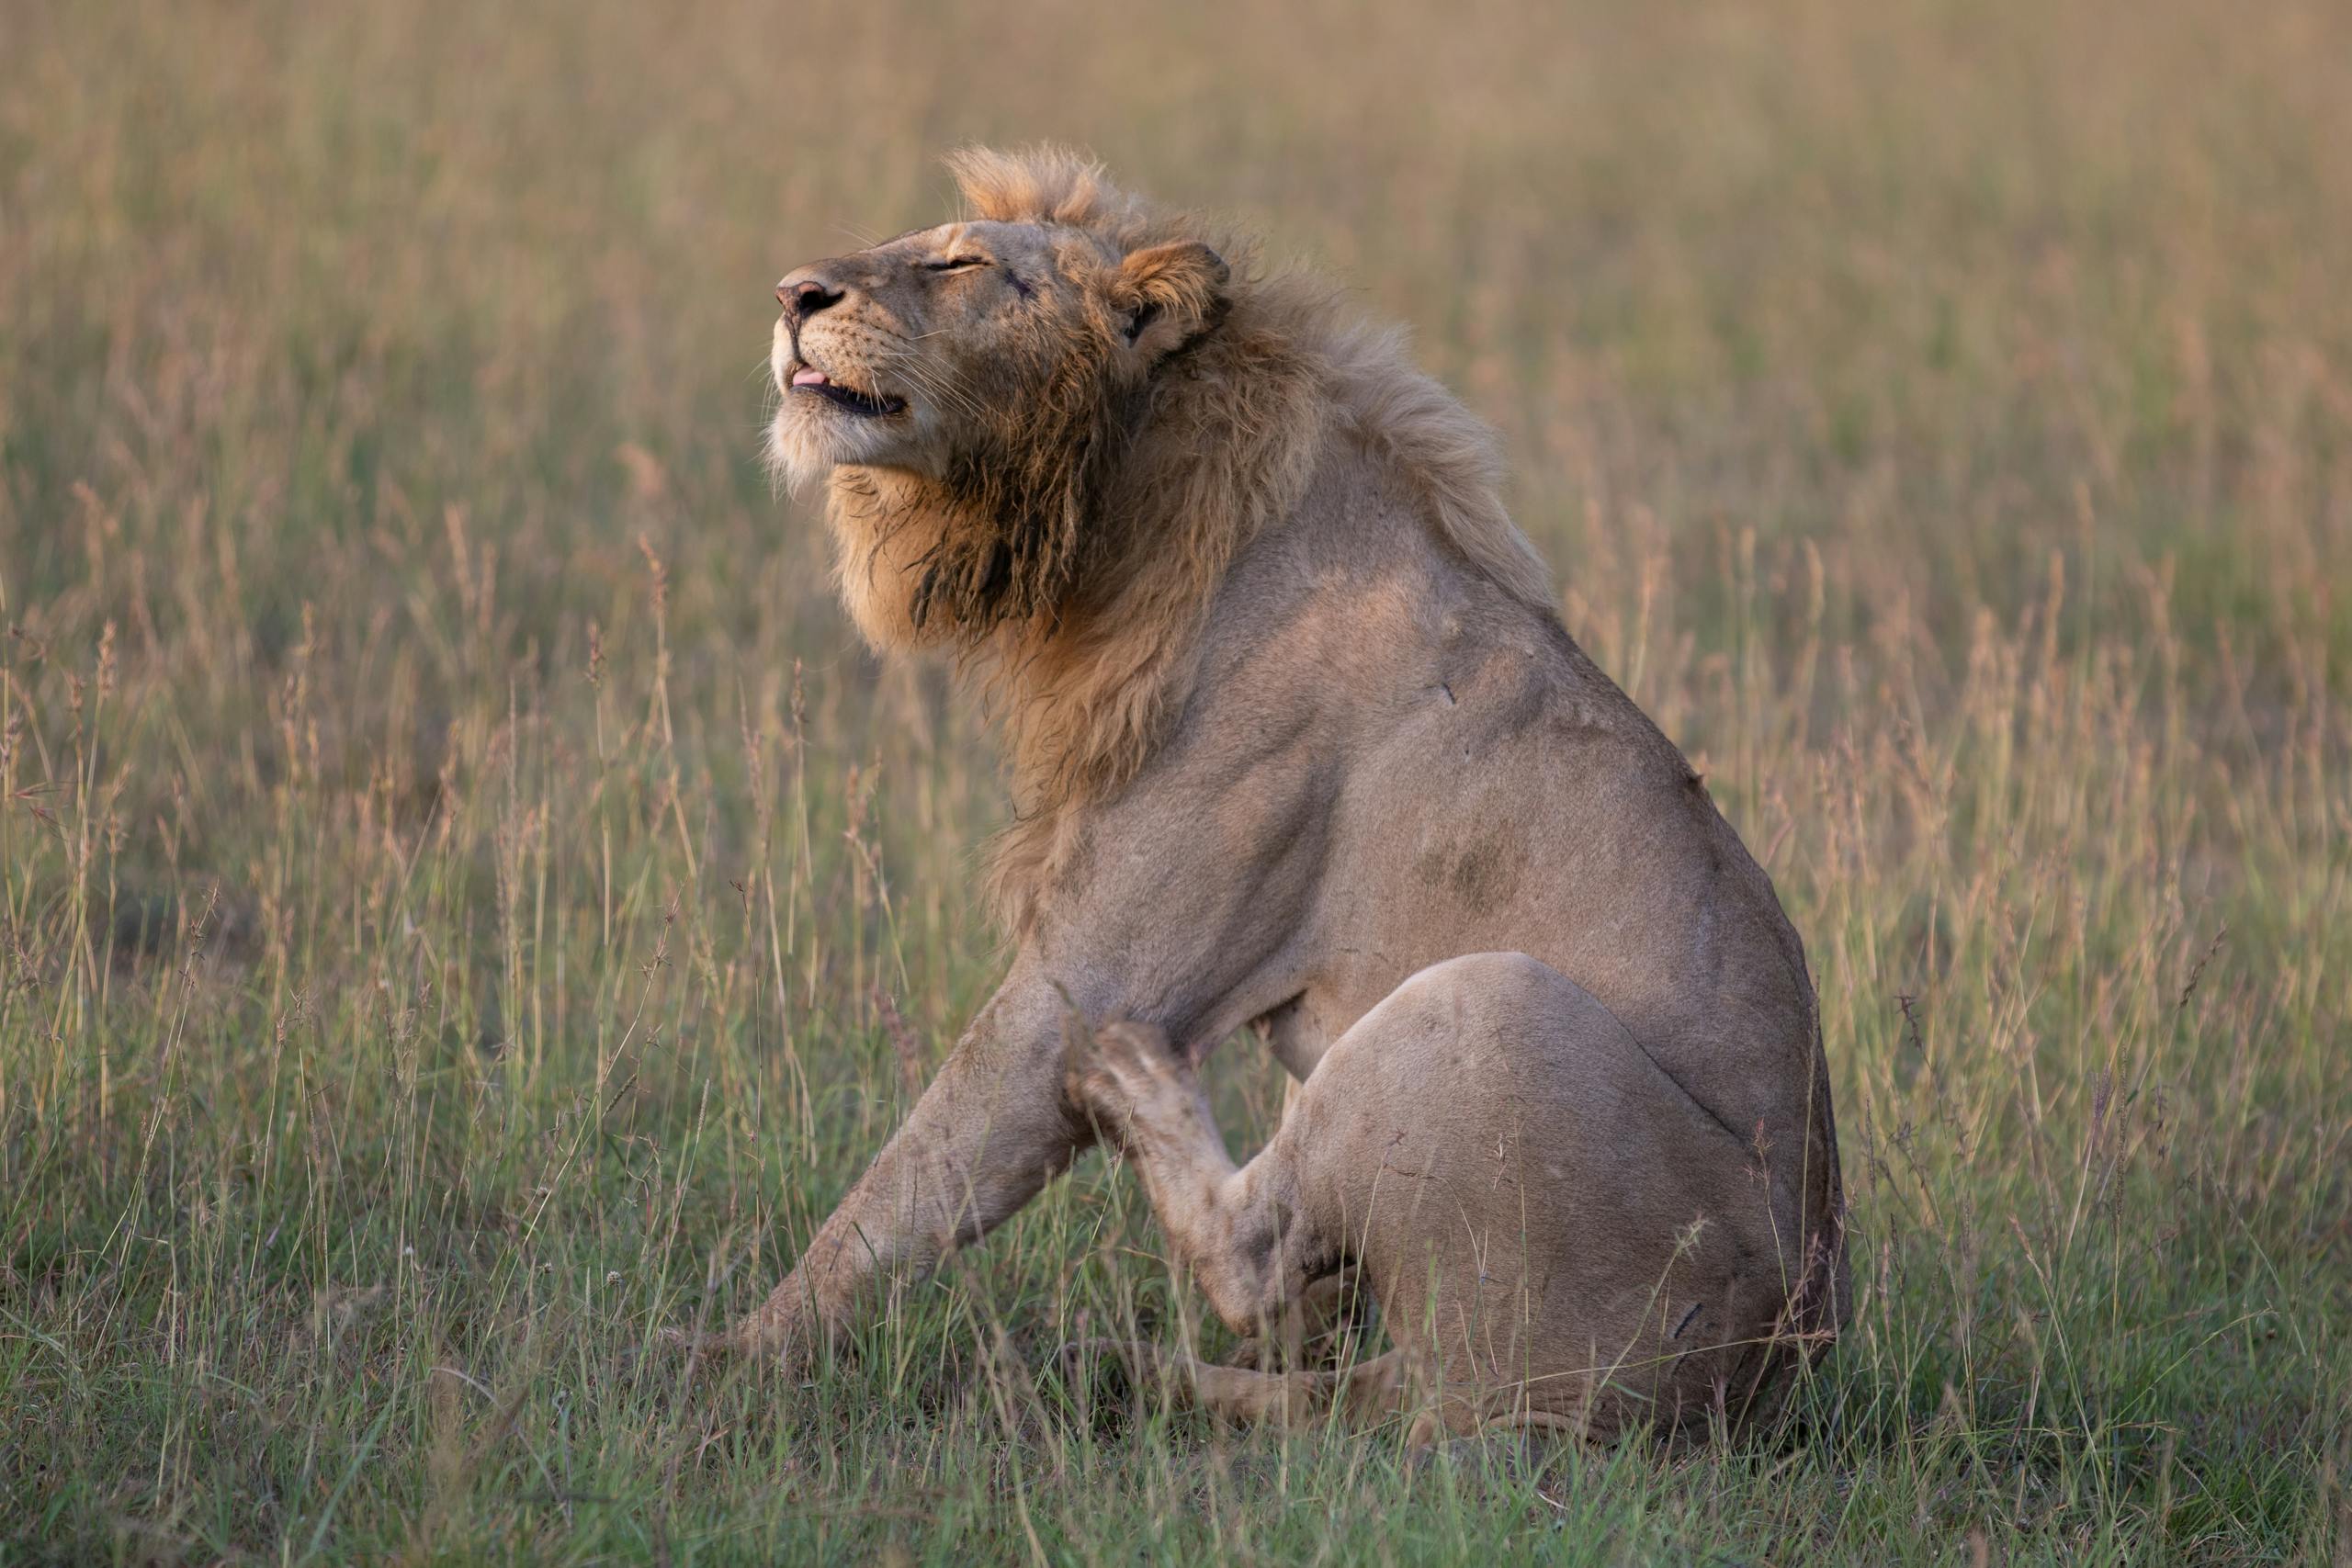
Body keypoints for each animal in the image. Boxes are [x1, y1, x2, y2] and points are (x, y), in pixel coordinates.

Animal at [712, 144, 1848, 1440]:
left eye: (960, 263)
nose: (792, 294)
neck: (1120, 522)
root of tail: (1752, 1380)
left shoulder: (1090, 971)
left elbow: (907, 1183)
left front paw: (724, 1361)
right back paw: (1104, 1369)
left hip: (1485, 1005)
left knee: (1252, 1261)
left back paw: (1136, 1098)